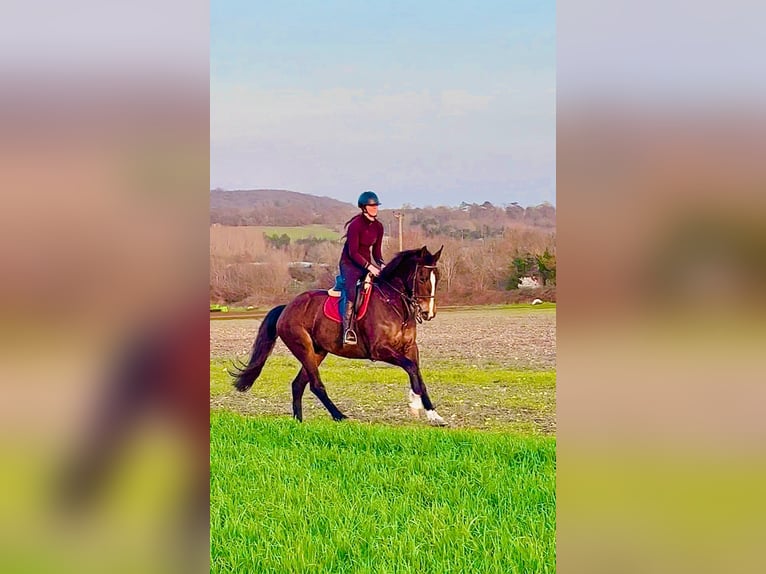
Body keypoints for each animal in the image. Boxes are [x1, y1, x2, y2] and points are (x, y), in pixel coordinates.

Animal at [232, 245, 447, 425]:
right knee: (315, 385)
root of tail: (287, 307)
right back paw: (339, 416)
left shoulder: (410, 348)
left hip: (318, 352)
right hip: (303, 348)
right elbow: (411, 368)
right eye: (422, 278)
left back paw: (299, 422)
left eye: (437, 278)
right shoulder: (379, 350)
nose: (428, 313)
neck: (395, 304)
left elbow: (417, 373)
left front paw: (433, 414)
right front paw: (415, 404)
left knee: (298, 384)